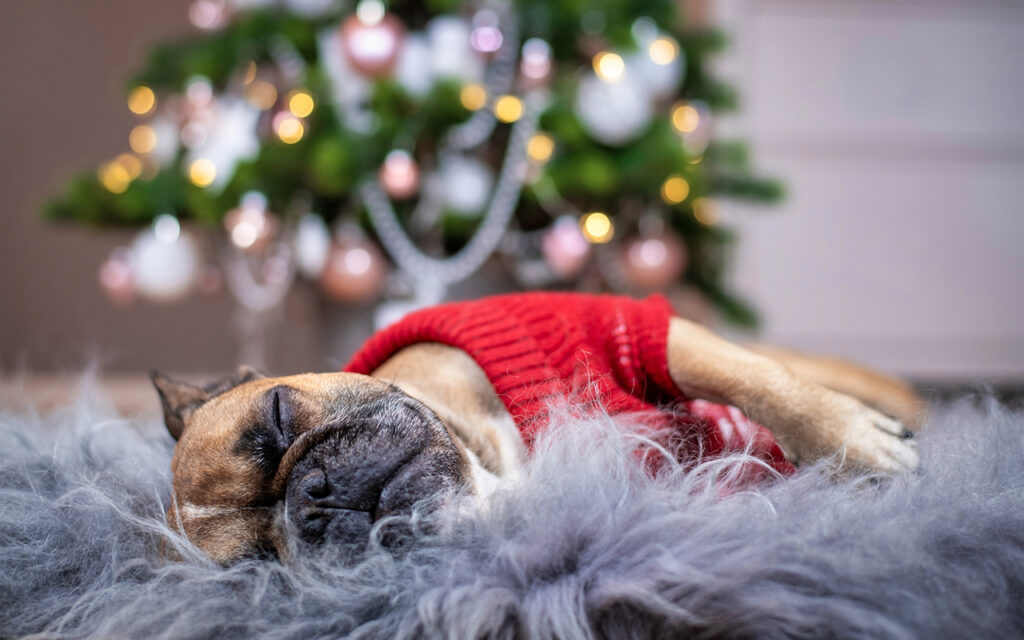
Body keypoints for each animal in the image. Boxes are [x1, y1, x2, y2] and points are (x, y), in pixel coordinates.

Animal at [149, 292, 921, 561]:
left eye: (279, 414)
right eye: (264, 566)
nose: (314, 497)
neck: (488, 467)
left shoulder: (632, 329)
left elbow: (752, 381)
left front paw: (856, 444)